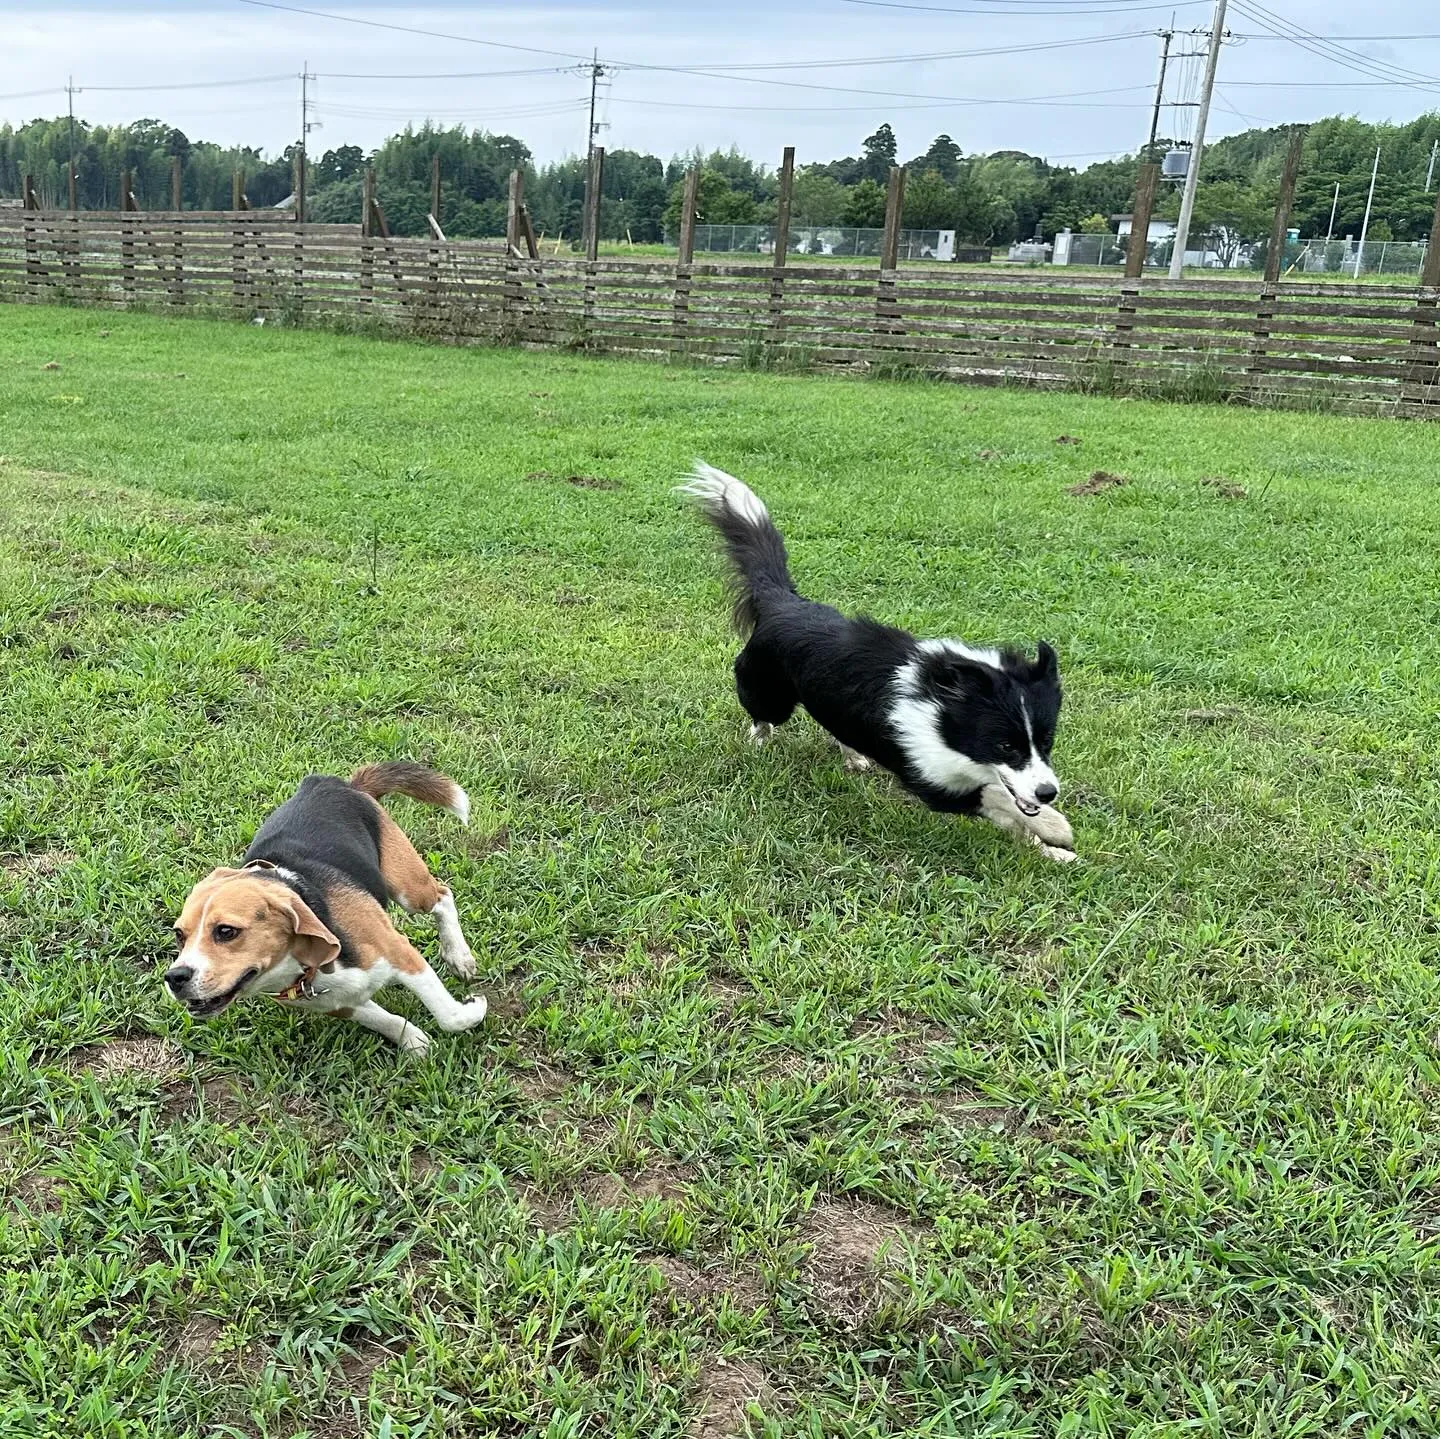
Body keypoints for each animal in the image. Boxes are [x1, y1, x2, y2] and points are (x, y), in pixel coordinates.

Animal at [679, 466, 1077, 858]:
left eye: (1047, 740)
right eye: (1005, 746)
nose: (1048, 793)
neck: (946, 706)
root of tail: (784, 601)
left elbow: (1011, 806)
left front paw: (1053, 849)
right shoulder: (928, 775)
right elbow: (997, 797)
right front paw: (1056, 829)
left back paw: (852, 754)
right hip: (769, 693)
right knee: (762, 716)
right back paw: (760, 740)